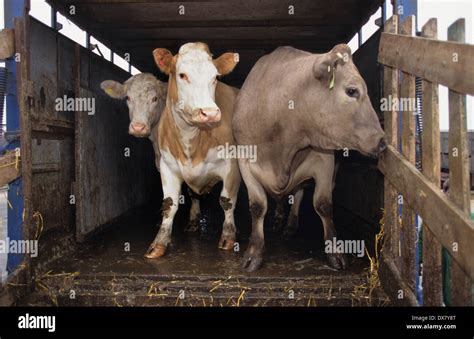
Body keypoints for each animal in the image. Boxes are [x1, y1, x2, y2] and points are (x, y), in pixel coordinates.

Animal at [145, 43, 243, 260]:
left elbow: (227, 200)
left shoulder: (231, 167)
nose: (210, 113)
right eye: (182, 75)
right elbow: (170, 204)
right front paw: (159, 243)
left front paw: (228, 237)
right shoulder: (167, 166)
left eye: (215, 77)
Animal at [233, 45, 386, 274]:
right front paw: (254, 253)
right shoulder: (245, 161)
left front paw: (335, 252)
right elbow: (258, 206)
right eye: (352, 91)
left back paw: (290, 225)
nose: (383, 140)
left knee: (299, 193)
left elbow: (323, 204)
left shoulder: (324, 160)